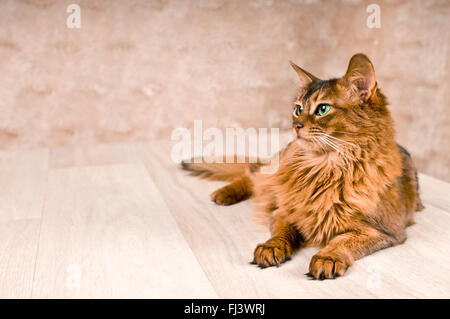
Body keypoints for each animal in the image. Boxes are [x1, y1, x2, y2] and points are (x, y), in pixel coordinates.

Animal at [181, 53, 424, 280]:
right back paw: (224, 193)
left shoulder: (385, 231)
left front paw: (328, 257)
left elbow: (343, 240)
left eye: (323, 109)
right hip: (275, 170)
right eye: (298, 109)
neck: (324, 169)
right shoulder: (285, 211)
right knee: (254, 175)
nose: (295, 125)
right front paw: (272, 246)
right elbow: (283, 232)